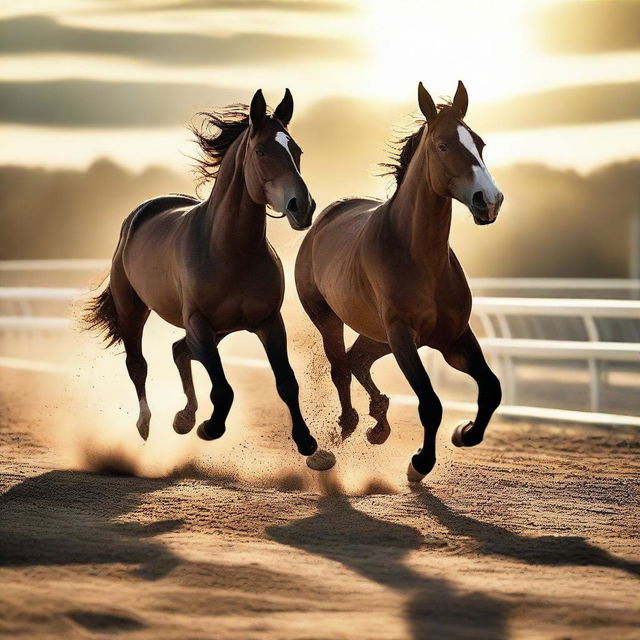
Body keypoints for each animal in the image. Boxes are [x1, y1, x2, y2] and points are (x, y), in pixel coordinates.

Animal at [85, 89, 336, 470]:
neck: (229, 251)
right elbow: (223, 388)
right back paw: (147, 425)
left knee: (178, 350)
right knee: (138, 365)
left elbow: (286, 382)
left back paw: (183, 417)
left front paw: (308, 443)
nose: (302, 207)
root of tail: (142, 212)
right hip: (134, 312)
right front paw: (210, 427)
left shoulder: (268, 322)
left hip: (220, 330)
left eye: (297, 150)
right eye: (261, 151)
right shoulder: (199, 323)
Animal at [296, 81, 504, 480]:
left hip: (377, 335)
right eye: (443, 145)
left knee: (357, 360)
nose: (489, 201)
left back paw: (378, 422)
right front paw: (419, 464)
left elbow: (491, 389)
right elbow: (430, 403)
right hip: (330, 319)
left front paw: (465, 433)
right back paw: (345, 428)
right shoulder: (403, 335)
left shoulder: (453, 338)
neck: (420, 257)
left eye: (480, 144)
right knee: (341, 366)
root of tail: (325, 219)